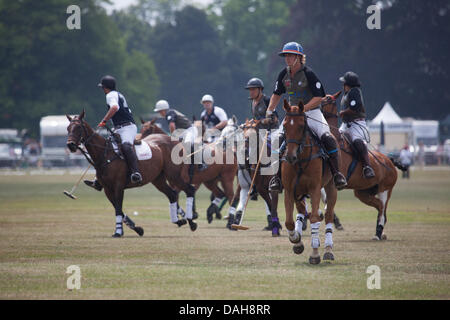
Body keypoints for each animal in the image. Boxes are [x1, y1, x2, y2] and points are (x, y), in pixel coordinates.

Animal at [65, 110, 197, 238]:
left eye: (78, 127)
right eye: (68, 128)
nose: (70, 145)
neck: (104, 153)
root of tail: (175, 141)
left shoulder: (118, 186)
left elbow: (118, 209)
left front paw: (118, 232)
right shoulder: (107, 189)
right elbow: (117, 208)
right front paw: (137, 229)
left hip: (174, 175)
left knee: (189, 189)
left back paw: (191, 221)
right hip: (158, 179)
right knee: (172, 195)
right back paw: (179, 221)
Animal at [282, 100, 338, 264]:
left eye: (301, 126)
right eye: (284, 126)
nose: (290, 156)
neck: (300, 160)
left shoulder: (315, 188)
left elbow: (314, 218)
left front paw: (314, 254)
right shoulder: (289, 190)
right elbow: (289, 221)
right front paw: (296, 240)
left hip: (330, 186)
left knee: (328, 215)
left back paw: (328, 250)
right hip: (299, 192)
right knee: (302, 212)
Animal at [320, 91, 404, 241]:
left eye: (327, 99)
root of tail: (389, 160)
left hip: (385, 189)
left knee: (382, 210)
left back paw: (378, 234)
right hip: (363, 193)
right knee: (380, 208)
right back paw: (380, 233)